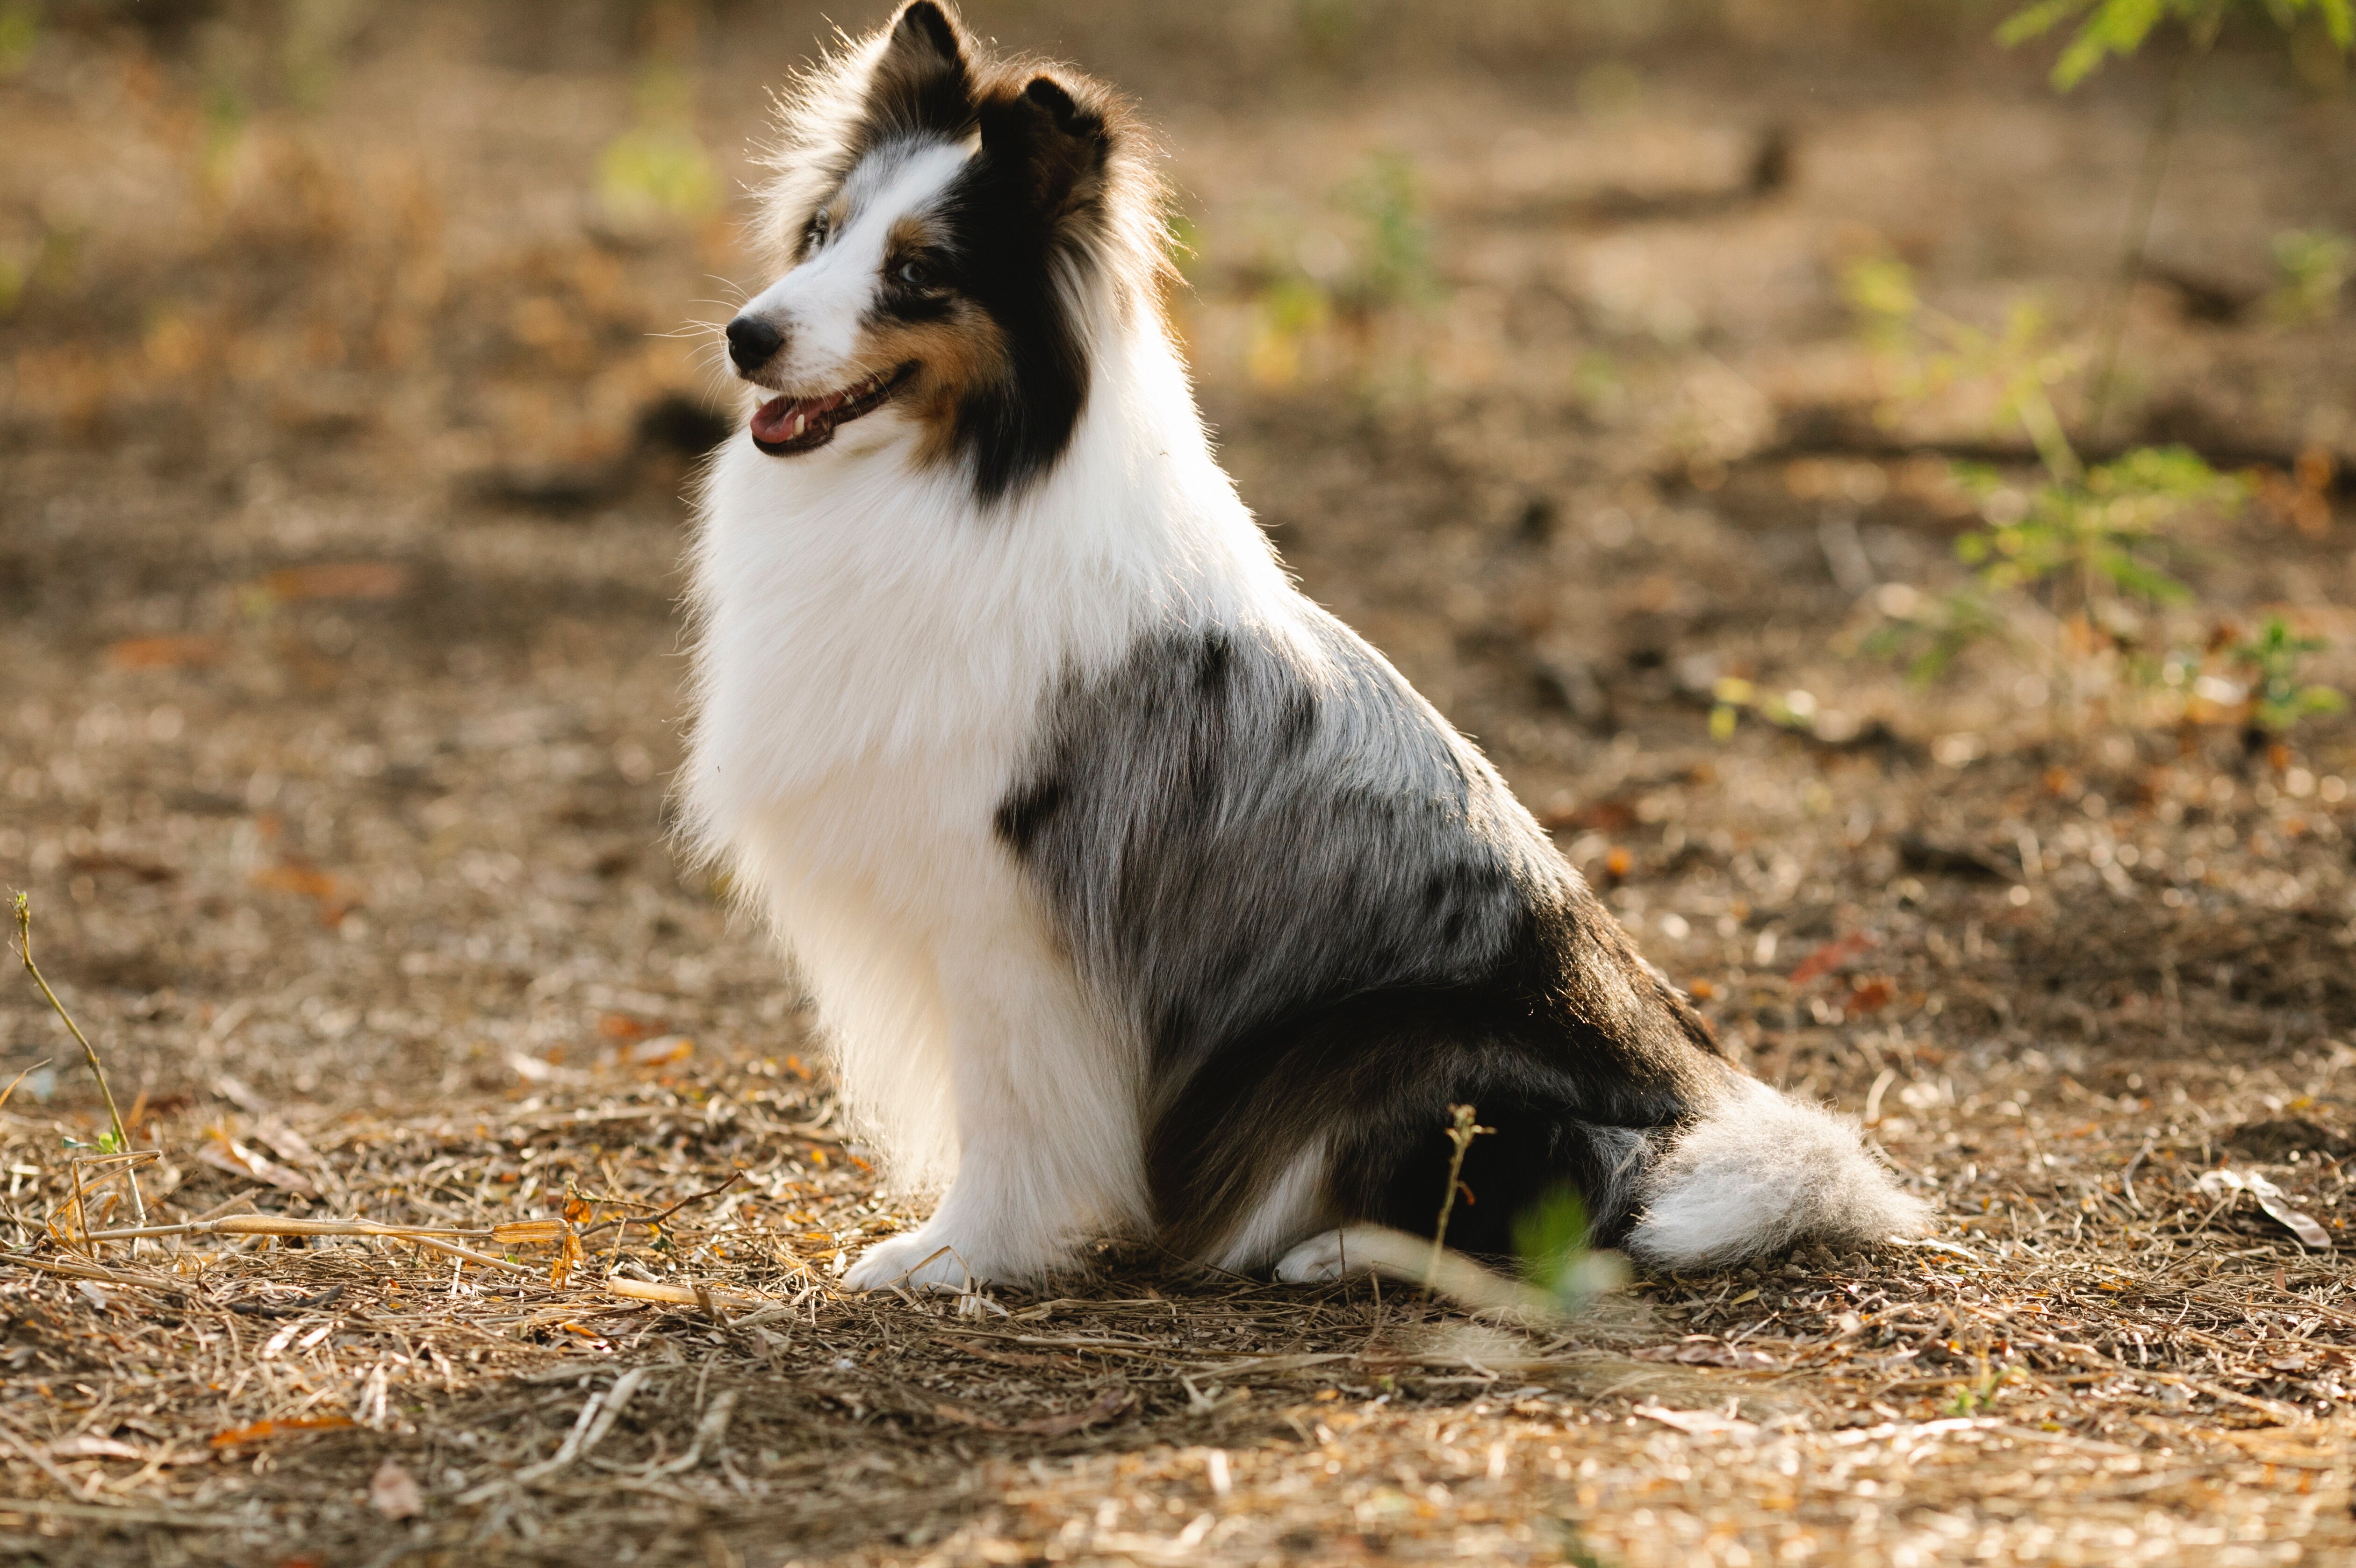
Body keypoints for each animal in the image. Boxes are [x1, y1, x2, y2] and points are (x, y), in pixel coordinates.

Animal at [678, 6, 1913, 1290]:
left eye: (918, 273)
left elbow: (1008, 1115)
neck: (962, 480)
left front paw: (956, 1256)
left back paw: (1333, 1250)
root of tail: (1702, 1111)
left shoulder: (1007, 914)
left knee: (1573, 1219)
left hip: (1384, 1050)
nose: (743, 336)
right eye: (823, 234)